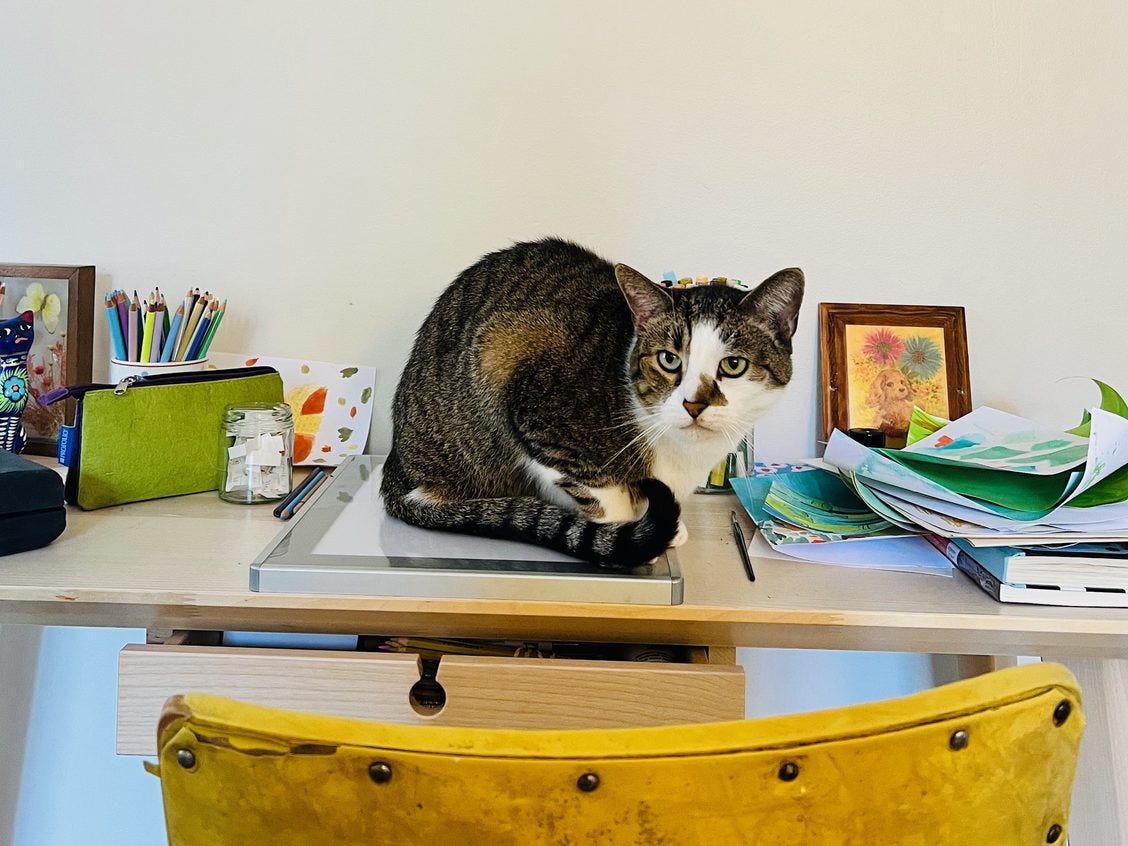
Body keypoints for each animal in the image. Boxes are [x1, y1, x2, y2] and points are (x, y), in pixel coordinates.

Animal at [383, 239, 807, 570]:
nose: (693, 405)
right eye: (669, 359)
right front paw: (628, 534)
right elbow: (602, 495)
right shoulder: (538, 410)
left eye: (733, 365)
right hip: (491, 361)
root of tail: (396, 466)